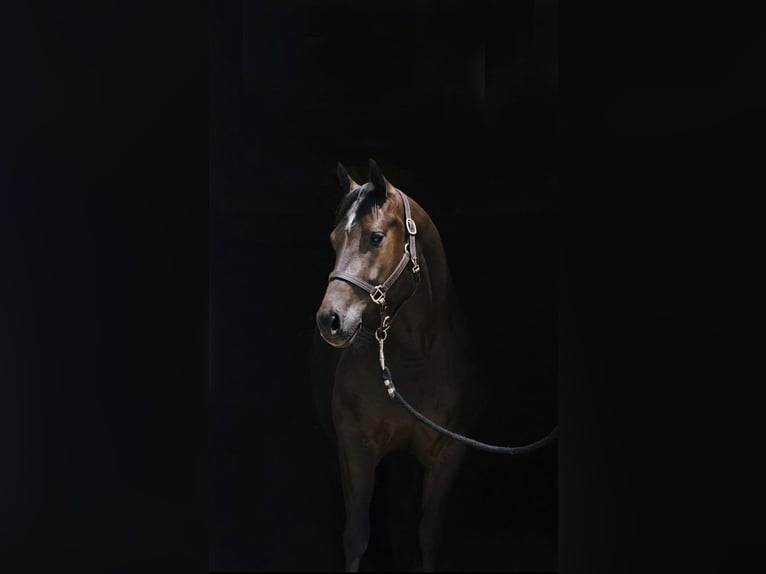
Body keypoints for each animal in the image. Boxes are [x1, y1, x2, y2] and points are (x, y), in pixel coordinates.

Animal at [315, 159, 486, 571]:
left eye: (376, 237)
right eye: (333, 239)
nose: (330, 320)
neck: (416, 358)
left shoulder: (449, 453)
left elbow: (429, 535)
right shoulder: (355, 446)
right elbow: (356, 535)